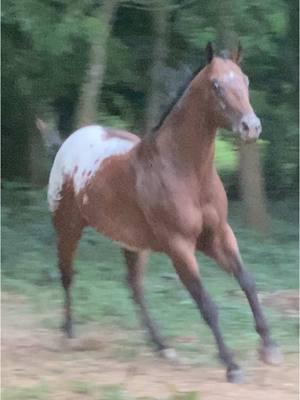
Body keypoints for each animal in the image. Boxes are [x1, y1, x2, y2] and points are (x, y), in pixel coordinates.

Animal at [47, 42, 282, 382]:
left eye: (245, 80)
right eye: (216, 85)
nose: (251, 127)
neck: (185, 171)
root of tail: (72, 139)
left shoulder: (218, 236)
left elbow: (248, 283)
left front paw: (269, 348)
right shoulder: (179, 245)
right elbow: (207, 304)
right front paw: (232, 365)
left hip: (133, 245)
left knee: (135, 288)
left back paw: (163, 347)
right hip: (68, 228)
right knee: (67, 275)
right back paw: (68, 333)